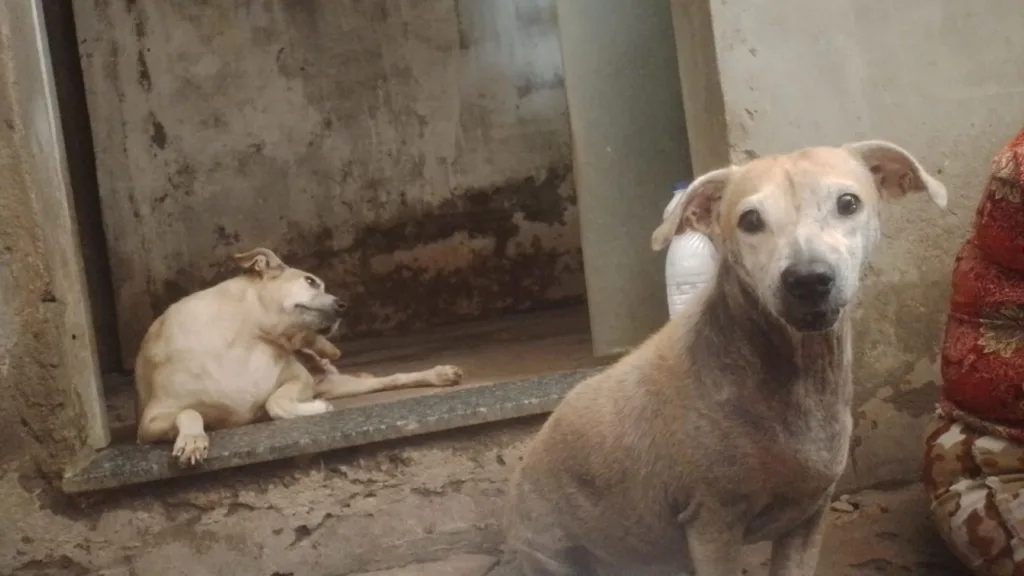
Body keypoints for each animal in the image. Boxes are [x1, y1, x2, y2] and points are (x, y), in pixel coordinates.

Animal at [135, 248, 464, 467]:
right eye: (310, 281)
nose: (344, 306)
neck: (244, 339)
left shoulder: (300, 380)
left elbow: (274, 401)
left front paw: (313, 408)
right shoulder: (150, 422)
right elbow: (191, 412)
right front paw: (192, 440)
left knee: (391, 379)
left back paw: (441, 374)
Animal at [507, 140, 946, 573]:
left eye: (848, 202)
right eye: (750, 220)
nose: (808, 280)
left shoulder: (808, 518)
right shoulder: (713, 522)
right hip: (553, 553)